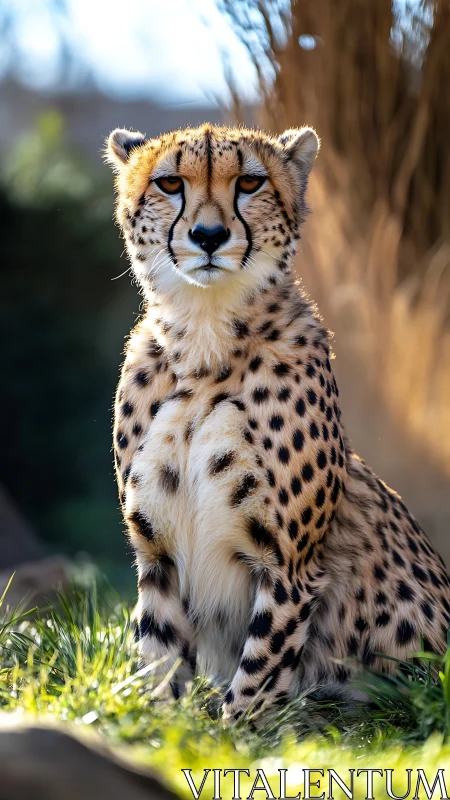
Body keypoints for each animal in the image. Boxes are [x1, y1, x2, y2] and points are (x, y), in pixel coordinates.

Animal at [105, 122, 450, 720]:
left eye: (249, 182)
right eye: (169, 182)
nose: (209, 235)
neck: (205, 340)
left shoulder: (289, 565)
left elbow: (262, 668)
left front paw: (236, 726)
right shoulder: (156, 554)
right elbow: (160, 657)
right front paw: (162, 722)